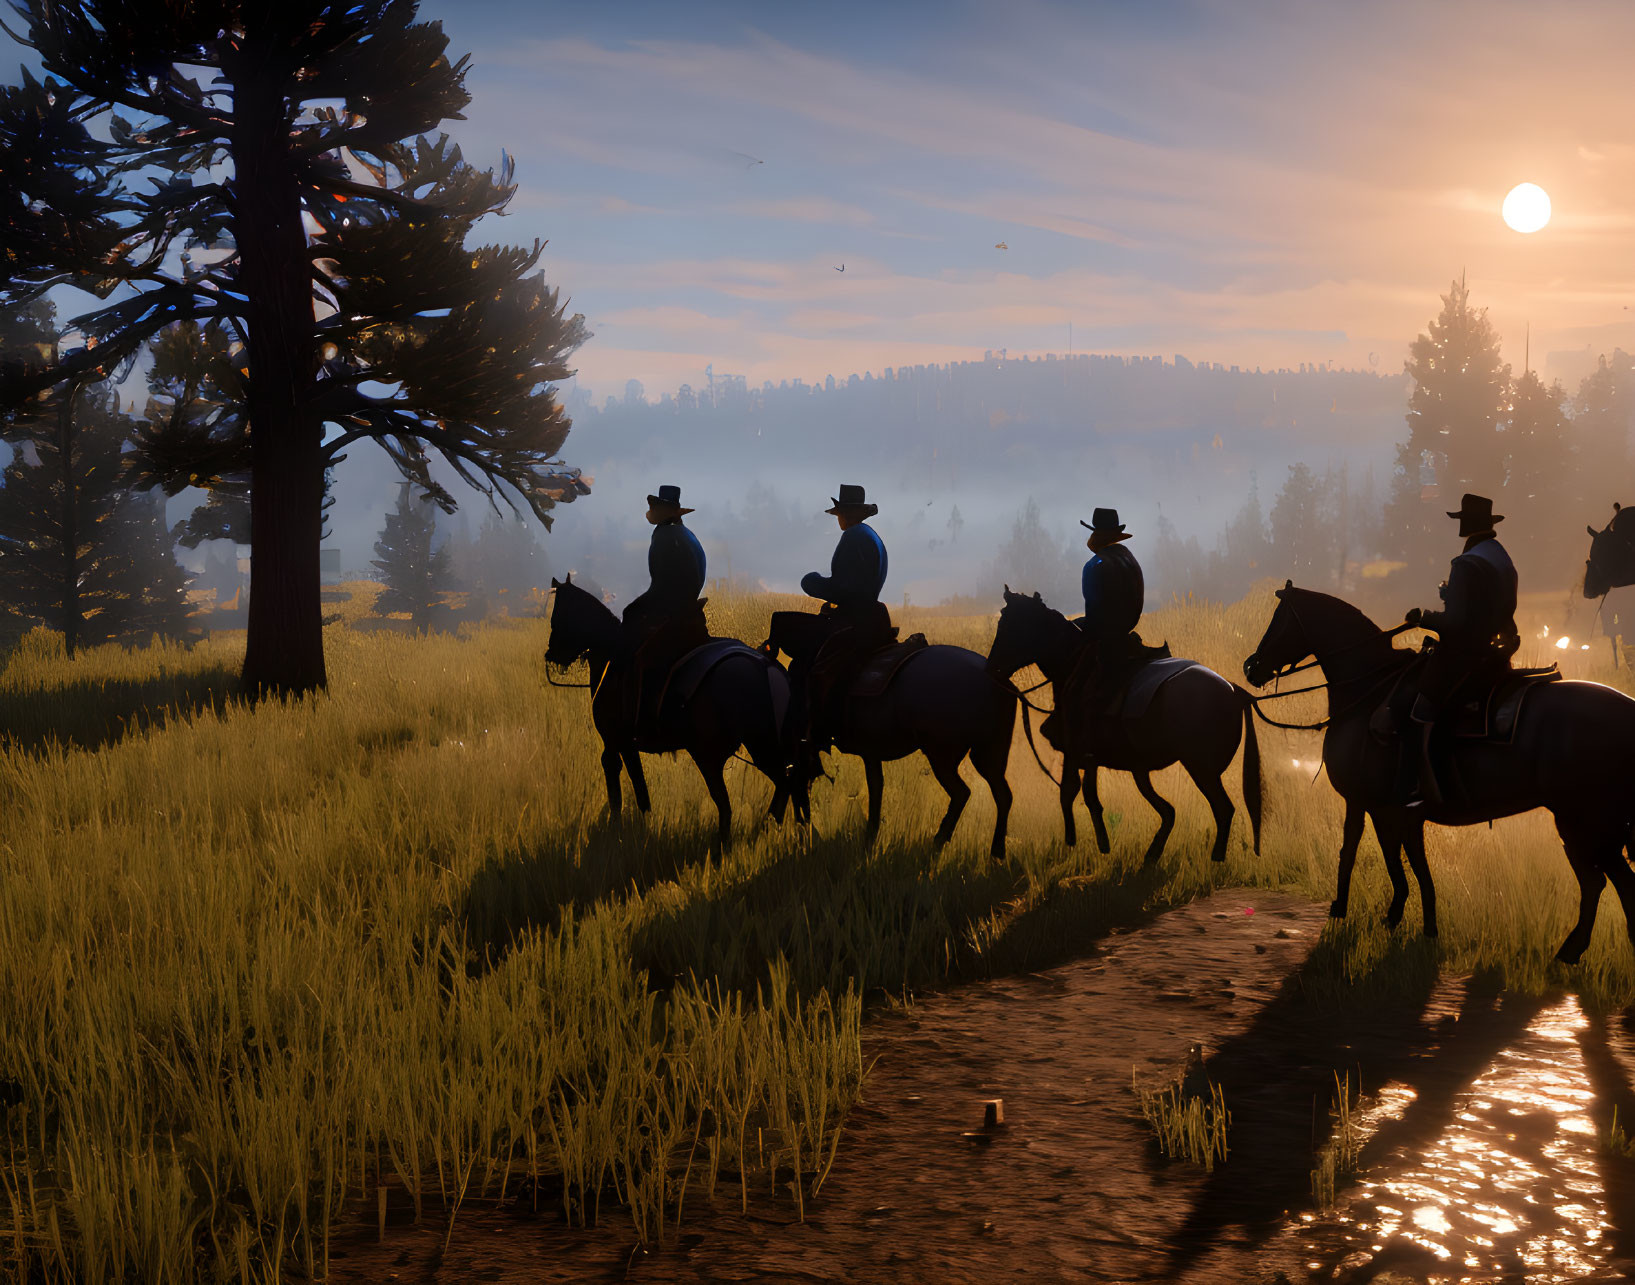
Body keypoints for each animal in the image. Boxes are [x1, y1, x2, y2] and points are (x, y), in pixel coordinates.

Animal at [542, 575, 791, 843]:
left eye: (557, 616)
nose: (551, 655)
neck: (611, 655)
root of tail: (765, 667)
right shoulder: (623, 744)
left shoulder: (618, 741)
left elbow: (625, 778)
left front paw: (620, 825)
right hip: (759, 747)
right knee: (782, 782)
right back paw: (766, 829)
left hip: (714, 755)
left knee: (728, 803)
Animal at [761, 611, 1013, 863]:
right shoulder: (869, 753)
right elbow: (875, 791)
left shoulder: (814, 747)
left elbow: (798, 783)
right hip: (987, 756)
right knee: (1003, 795)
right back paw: (995, 853)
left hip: (943, 756)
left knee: (962, 793)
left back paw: (938, 843)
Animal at [981, 585, 1262, 863]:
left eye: (1009, 625)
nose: (992, 668)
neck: (1072, 664)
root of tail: (1235, 691)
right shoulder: (1112, 762)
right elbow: (1081, 795)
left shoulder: (1078, 752)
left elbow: (1078, 794)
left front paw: (1088, 845)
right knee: (1178, 811)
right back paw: (1155, 854)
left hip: (1202, 769)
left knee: (1223, 809)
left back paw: (1215, 859)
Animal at [1242, 582, 1635, 961]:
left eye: (1278, 621)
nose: (1251, 666)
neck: (1368, 697)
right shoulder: (1390, 811)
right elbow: (1402, 861)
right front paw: (1406, 918)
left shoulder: (1371, 804)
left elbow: (1364, 853)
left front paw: (1349, 911)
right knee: (1600, 881)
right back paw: (1575, 949)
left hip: (1584, 822)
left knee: (1607, 881)